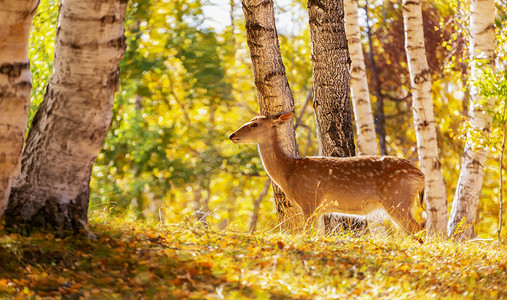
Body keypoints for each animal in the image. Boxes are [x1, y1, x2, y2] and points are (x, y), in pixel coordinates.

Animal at [229, 111, 424, 238]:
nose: (232, 135)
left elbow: (307, 234)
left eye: (255, 124)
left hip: (397, 198)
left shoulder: (309, 200)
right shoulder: (318, 208)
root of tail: (420, 174)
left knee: (417, 229)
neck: (288, 171)